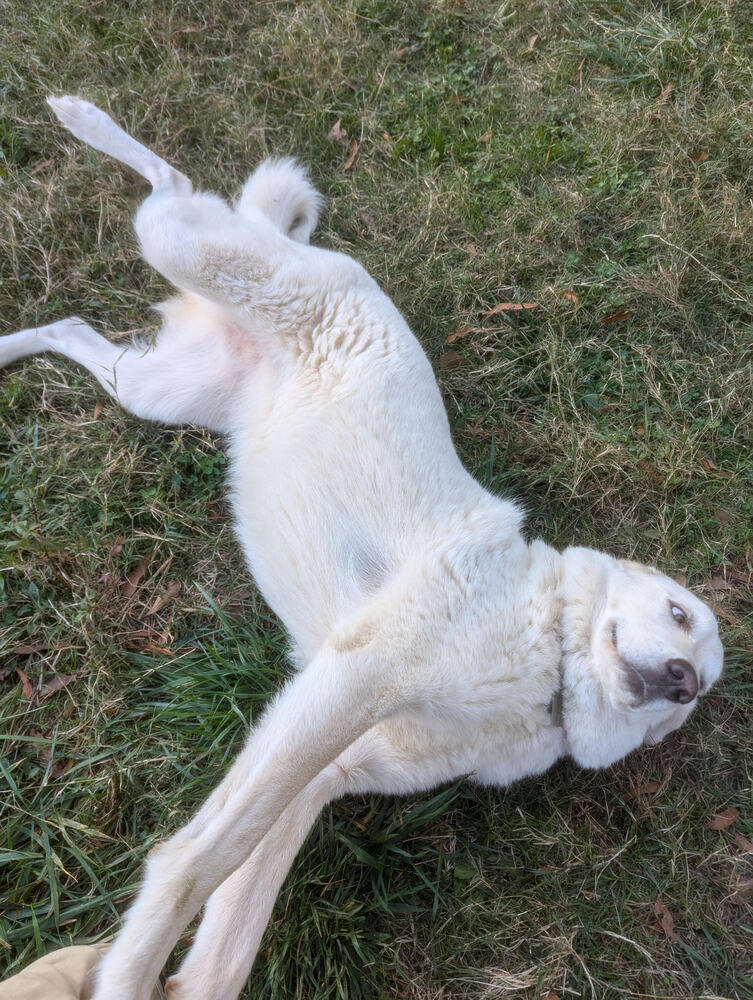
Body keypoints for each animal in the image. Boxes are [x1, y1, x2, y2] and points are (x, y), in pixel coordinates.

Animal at [1, 99, 724, 1000]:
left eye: (696, 694)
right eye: (678, 615)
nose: (682, 680)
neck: (542, 673)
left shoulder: (322, 770)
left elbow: (227, 939)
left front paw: (167, 979)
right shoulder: (355, 678)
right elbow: (195, 862)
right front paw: (128, 974)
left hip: (151, 390)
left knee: (75, 324)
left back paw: (7, 347)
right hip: (183, 250)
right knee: (171, 184)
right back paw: (82, 117)